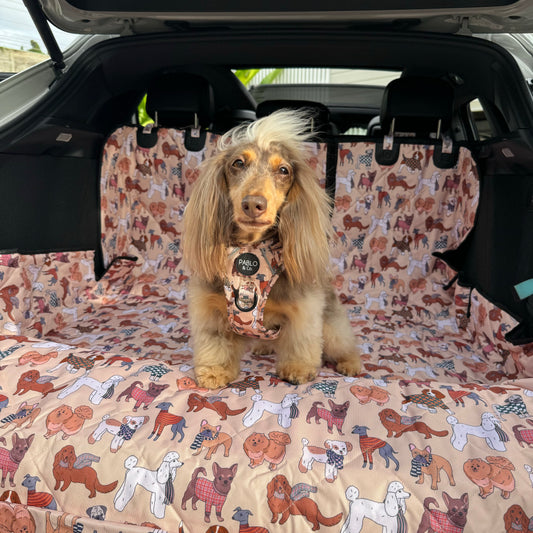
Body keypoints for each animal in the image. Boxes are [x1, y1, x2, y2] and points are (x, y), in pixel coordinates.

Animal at [183, 111, 362, 386]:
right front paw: (214, 371)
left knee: (344, 344)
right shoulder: (210, 308)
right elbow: (215, 343)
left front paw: (298, 369)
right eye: (238, 163)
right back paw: (263, 346)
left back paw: (351, 363)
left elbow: (301, 342)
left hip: (332, 326)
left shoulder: (304, 310)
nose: (253, 204)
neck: (252, 249)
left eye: (283, 170)